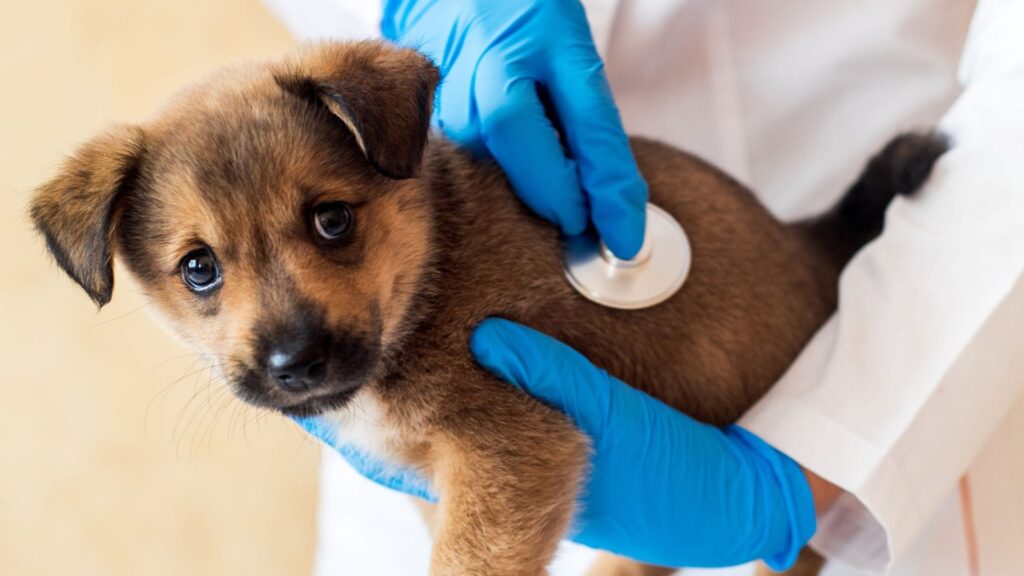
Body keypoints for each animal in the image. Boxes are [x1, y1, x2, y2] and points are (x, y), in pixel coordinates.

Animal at [29, 41, 942, 573]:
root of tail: (810, 241)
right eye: (199, 269)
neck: (430, 274)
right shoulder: (436, 482)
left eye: (331, 220)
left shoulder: (512, 451)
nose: (296, 363)